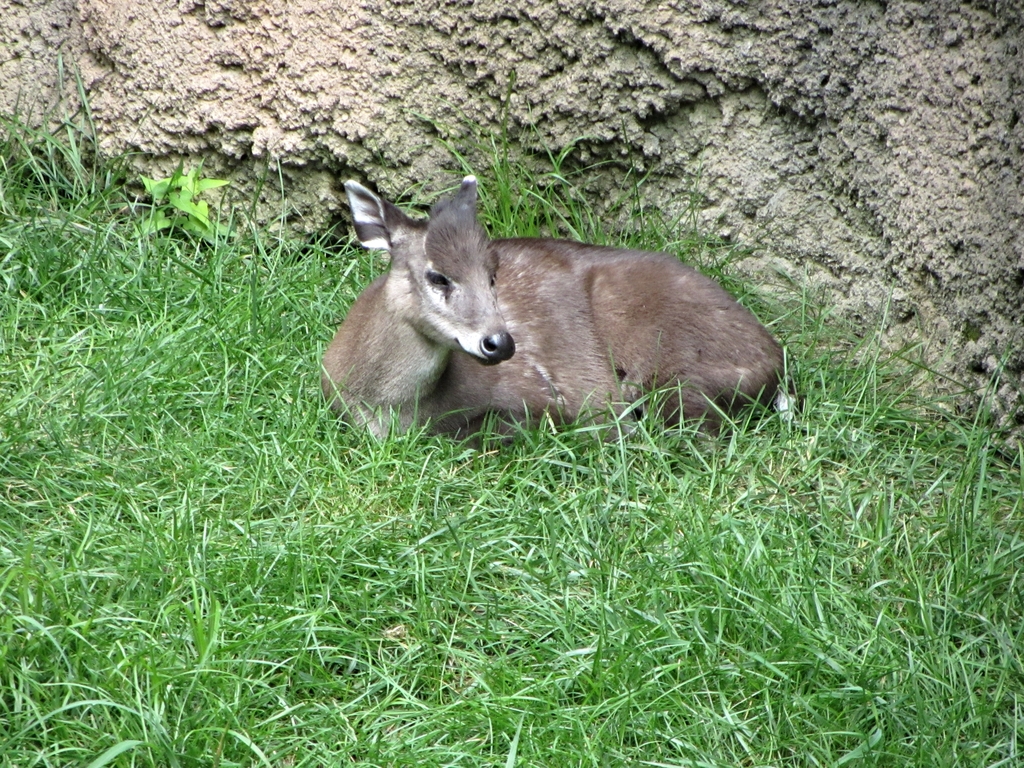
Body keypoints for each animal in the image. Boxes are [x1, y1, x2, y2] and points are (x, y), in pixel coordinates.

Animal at [321, 175, 786, 439]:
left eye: (493, 273)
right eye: (437, 276)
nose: (500, 343)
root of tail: (777, 366)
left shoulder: (534, 397)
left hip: (675, 371)